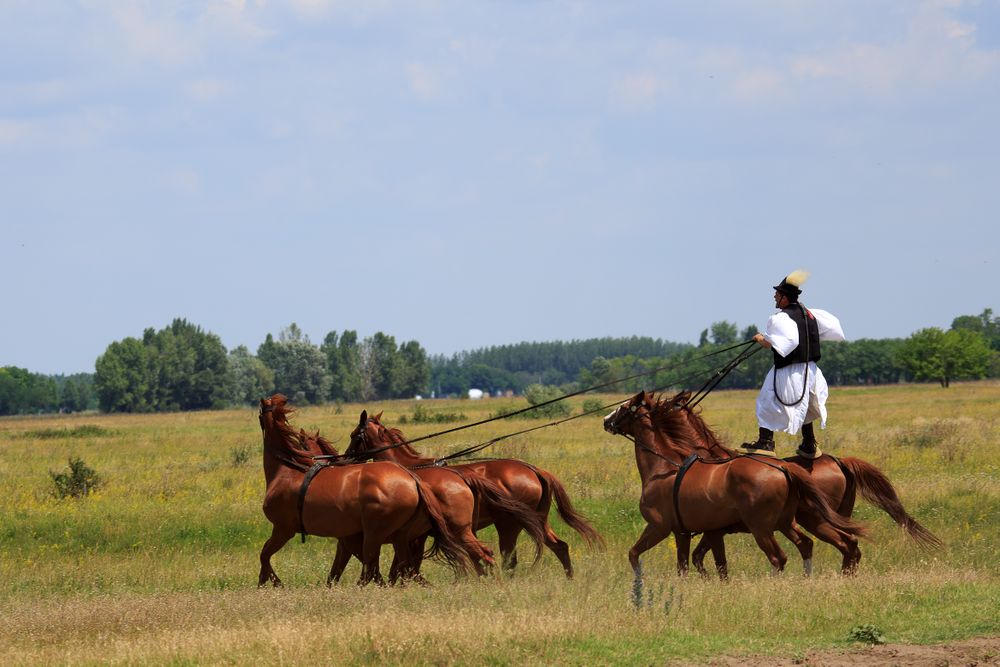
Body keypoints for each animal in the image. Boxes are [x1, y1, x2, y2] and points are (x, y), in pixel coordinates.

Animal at [262, 394, 472, 588]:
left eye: (354, 435)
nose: (348, 457)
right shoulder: (348, 541)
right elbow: (342, 572)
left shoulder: (290, 530)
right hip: (401, 536)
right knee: (403, 566)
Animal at [344, 410, 600, 576]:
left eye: (355, 435)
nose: (345, 459)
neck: (411, 471)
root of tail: (534, 470)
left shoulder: (417, 534)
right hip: (536, 521)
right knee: (559, 546)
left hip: (510, 525)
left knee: (510, 559)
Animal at [600, 392, 868, 588]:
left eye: (625, 406)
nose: (606, 420)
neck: (666, 465)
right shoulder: (699, 532)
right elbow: (706, 564)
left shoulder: (661, 528)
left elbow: (637, 554)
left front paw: (640, 581)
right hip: (790, 522)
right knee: (822, 544)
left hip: (769, 527)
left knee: (782, 556)